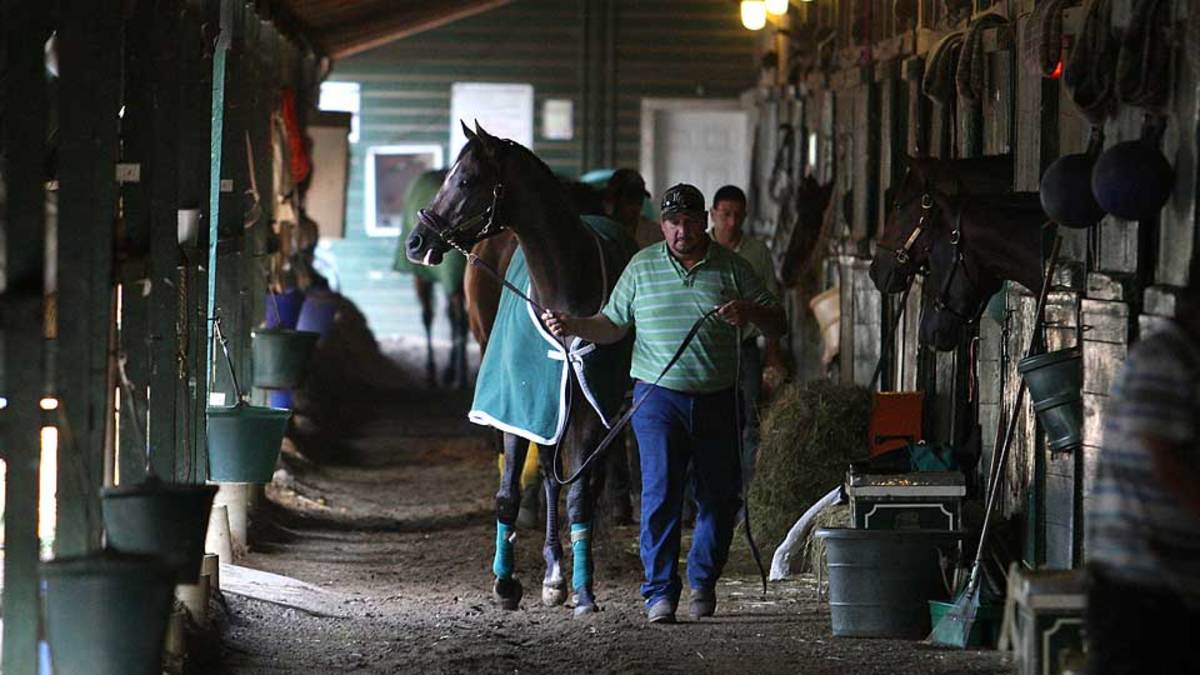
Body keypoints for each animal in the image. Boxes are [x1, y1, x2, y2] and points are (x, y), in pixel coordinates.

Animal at [405, 121, 624, 614]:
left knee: (579, 481)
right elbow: (508, 494)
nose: (416, 241)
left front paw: (584, 589)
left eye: (467, 180)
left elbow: (579, 494)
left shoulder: (587, 409)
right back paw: (552, 571)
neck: (561, 289)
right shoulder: (521, 403)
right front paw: (506, 584)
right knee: (548, 474)